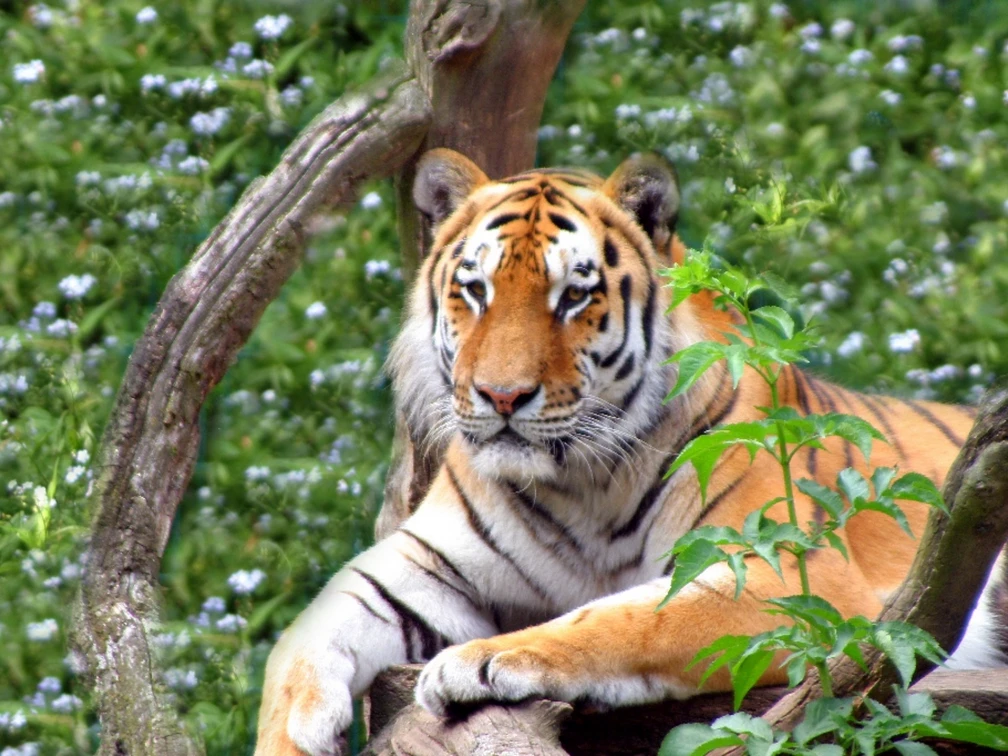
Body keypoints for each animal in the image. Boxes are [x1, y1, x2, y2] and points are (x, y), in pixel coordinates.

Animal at [255, 149, 1004, 755]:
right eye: (475, 289)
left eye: (572, 296)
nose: (502, 396)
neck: (579, 482)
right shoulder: (422, 566)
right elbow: (301, 637)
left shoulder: (785, 574)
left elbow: (629, 618)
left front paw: (481, 661)